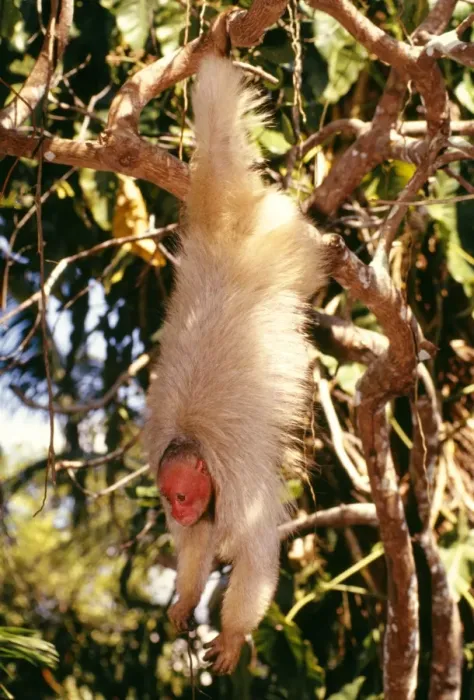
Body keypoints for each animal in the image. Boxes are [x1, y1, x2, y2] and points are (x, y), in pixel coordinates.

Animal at [145, 55, 326, 675]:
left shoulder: (238, 484)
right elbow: (197, 545)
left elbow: (257, 554)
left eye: (181, 495)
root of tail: (222, 231)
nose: (176, 510)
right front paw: (185, 598)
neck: (191, 442)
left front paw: (232, 633)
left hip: (281, 237)